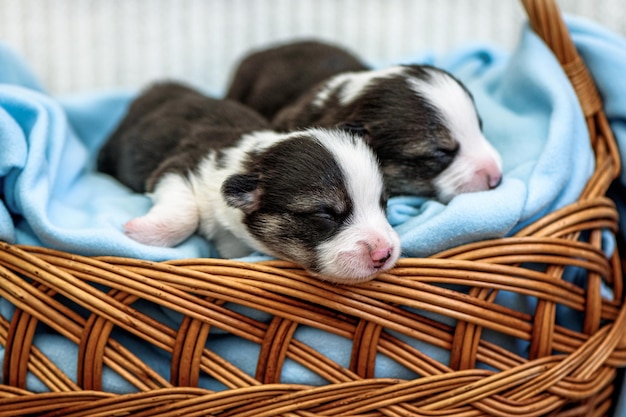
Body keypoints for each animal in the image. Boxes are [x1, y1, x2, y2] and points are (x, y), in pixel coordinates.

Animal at [97, 81, 400, 282]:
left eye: (383, 204)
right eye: (325, 214)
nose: (384, 253)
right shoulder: (177, 166)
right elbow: (185, 215)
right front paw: (143, 232)